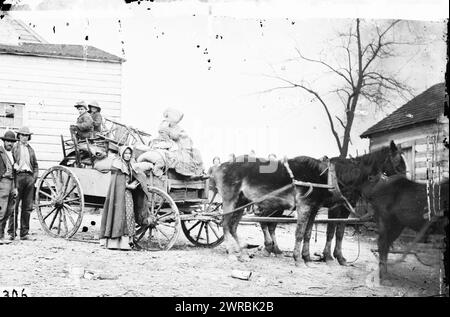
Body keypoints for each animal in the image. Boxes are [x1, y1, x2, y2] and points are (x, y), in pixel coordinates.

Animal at [213, 141, 406, 264]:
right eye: (398, 163)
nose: (405, 182)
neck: (330, 177)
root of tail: (221, 166)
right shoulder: (314, 207)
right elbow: (305, 233)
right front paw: (302, 258)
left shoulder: (316, 208)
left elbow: (312, 233)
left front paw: (309, 257)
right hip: (232, 200)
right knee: (227, 224)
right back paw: (235, 253)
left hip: (243, 202)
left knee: (235, 226)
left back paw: (244, 252)